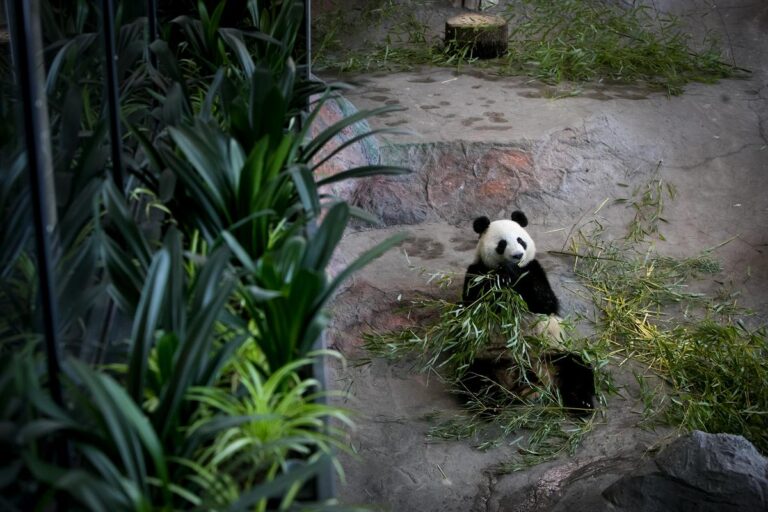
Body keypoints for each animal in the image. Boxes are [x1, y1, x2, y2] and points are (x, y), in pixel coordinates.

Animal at [462, 210, 592, 414]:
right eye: (502, 244)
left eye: (520, 240)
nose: (518, 255)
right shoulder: (477, 272)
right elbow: (475, 304)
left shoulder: (534, 269)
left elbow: (545, 303)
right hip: (488, 358)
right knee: (475, 380)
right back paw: (489, 406)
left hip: (551, 353)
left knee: (577, 366)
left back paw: (581, 403)